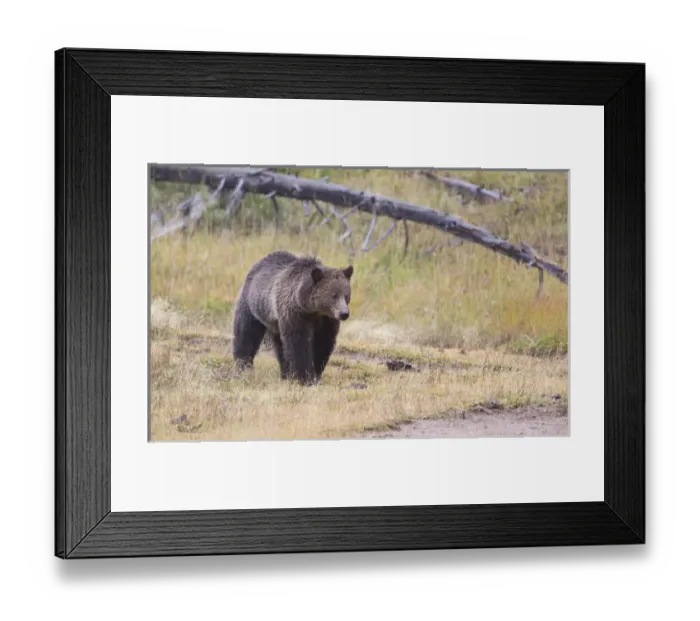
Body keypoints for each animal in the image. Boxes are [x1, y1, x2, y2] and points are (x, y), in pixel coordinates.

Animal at [232, 250, 354, 385]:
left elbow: (323, 343)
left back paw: (285, 373)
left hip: (274, 321)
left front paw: (315, 373)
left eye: (346, 295)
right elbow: (298, 342)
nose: (344, 314)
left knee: (279, 346)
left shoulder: (326, 320)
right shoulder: (295, 314)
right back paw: (243, 366)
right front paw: (304, 377)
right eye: (334, 296)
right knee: (246, 333)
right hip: (253, 305)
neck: (312, 309)